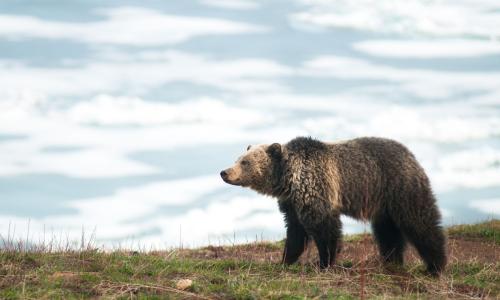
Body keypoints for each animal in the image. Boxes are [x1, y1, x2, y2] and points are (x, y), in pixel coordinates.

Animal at [221, 137, 448, 276]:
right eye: (238, 158)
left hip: (399, 187)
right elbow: (295, 232)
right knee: (387, 232)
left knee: (420, 223)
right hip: (383, 204)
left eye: (245, 162)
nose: (224, 172)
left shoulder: (317, 189)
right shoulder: (292, 203)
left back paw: (435, 266)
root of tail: (411, 154)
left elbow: (325, 230)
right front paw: (285, 260)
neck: (288, 179)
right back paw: (392, 261)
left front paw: (324, 263)